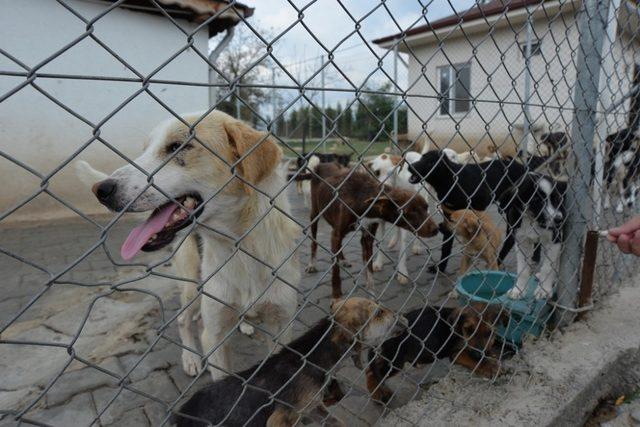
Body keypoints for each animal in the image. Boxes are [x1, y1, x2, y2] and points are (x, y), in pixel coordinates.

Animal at [80, 111, 300, 382]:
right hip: (192, 285)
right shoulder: (214, 336)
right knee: (184, 319)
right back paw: (191, 358)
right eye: (145, 149)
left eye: (177, 146)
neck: (242, 249)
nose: (101, 189)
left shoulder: (282, 325)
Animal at [172, 298, 408, 427]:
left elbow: (336, 421)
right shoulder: (280, 418)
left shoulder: (312, 406)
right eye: (379, 313)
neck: (310, 356)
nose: (404, 319)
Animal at [306, 162, 440, 300]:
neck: (362, 198)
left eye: (426, 207)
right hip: (315, 215)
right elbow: (335, 269)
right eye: (411, 212)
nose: (437, 229)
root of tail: (323, 164)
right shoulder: (337, 234)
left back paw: (342, 259)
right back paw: (312, 264)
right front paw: (336, 295)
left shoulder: (367, 238)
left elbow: (369, 270)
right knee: (314, 241)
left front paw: (371, 294)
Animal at [364, 304, 504, 404]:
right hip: (395, 361)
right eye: (468, 330)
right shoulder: (457, 353)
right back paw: (377, 394)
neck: (458, 328)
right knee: (371, 371)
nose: (478, 354)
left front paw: (493, 355)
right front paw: (490, 366)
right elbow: (474, 360)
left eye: (489, 333)